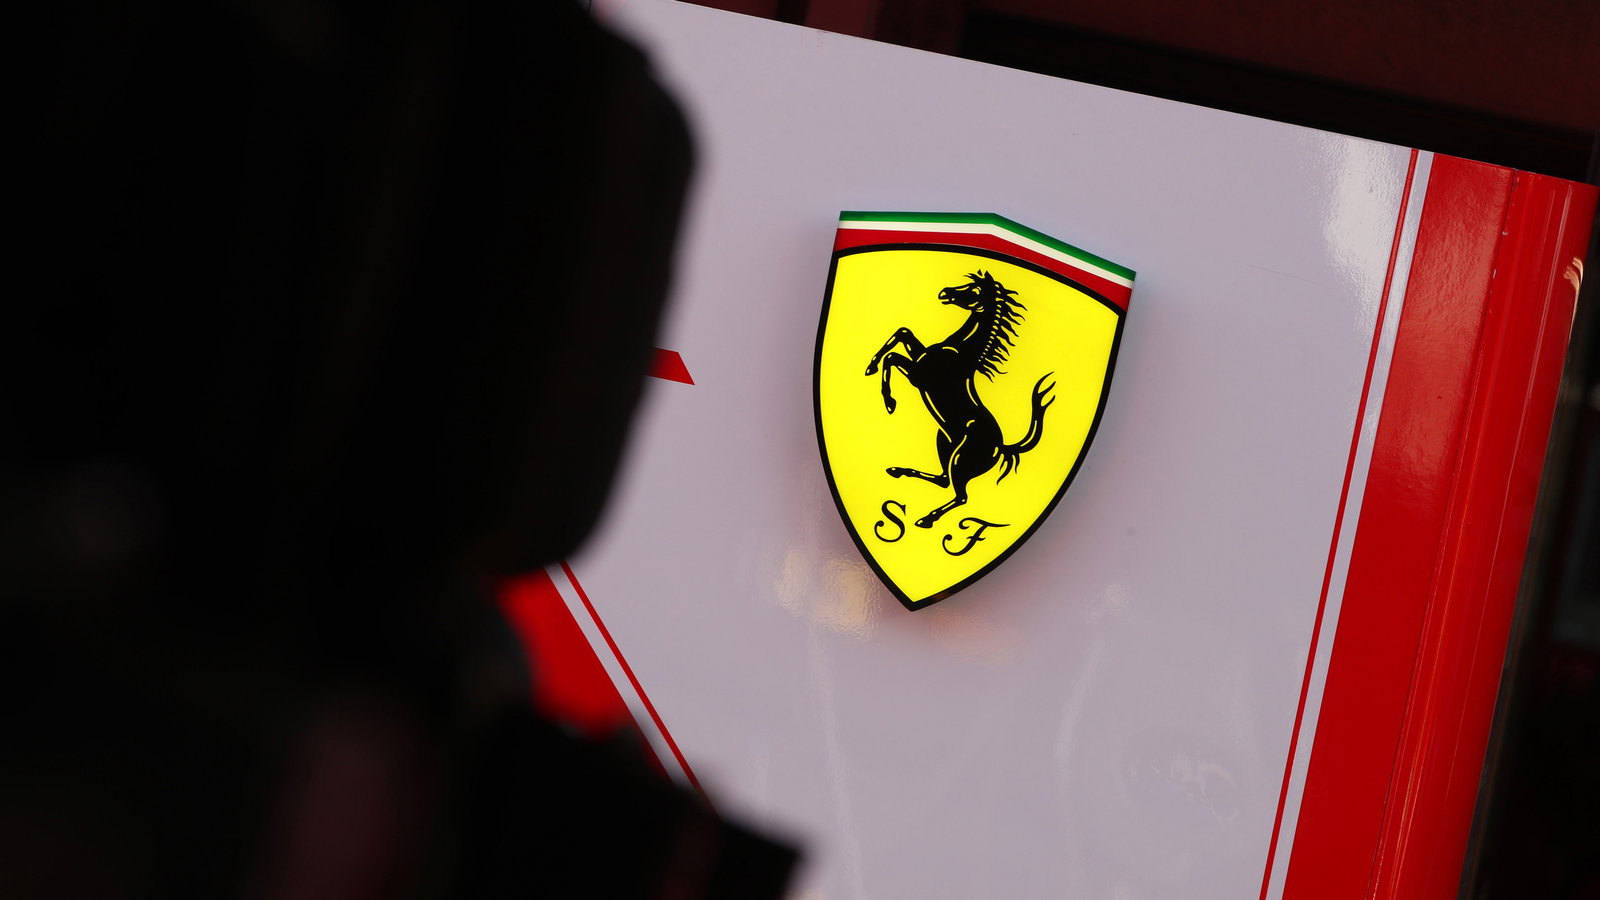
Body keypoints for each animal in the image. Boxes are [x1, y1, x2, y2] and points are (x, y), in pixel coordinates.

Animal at [865, 270, 1055, 528]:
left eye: (975, 291)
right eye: (966, 283)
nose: (945, 292)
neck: (960, 350)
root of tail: (1001, 447)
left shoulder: (919, 375)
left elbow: (892, 357)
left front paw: (889, 403)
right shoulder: (919, 361)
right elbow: (903, 333)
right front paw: (870, 367)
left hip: (962, 458)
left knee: (961, 495)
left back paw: (927, 518)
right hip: (944, 441)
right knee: (944, 479)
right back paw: (899, 471)